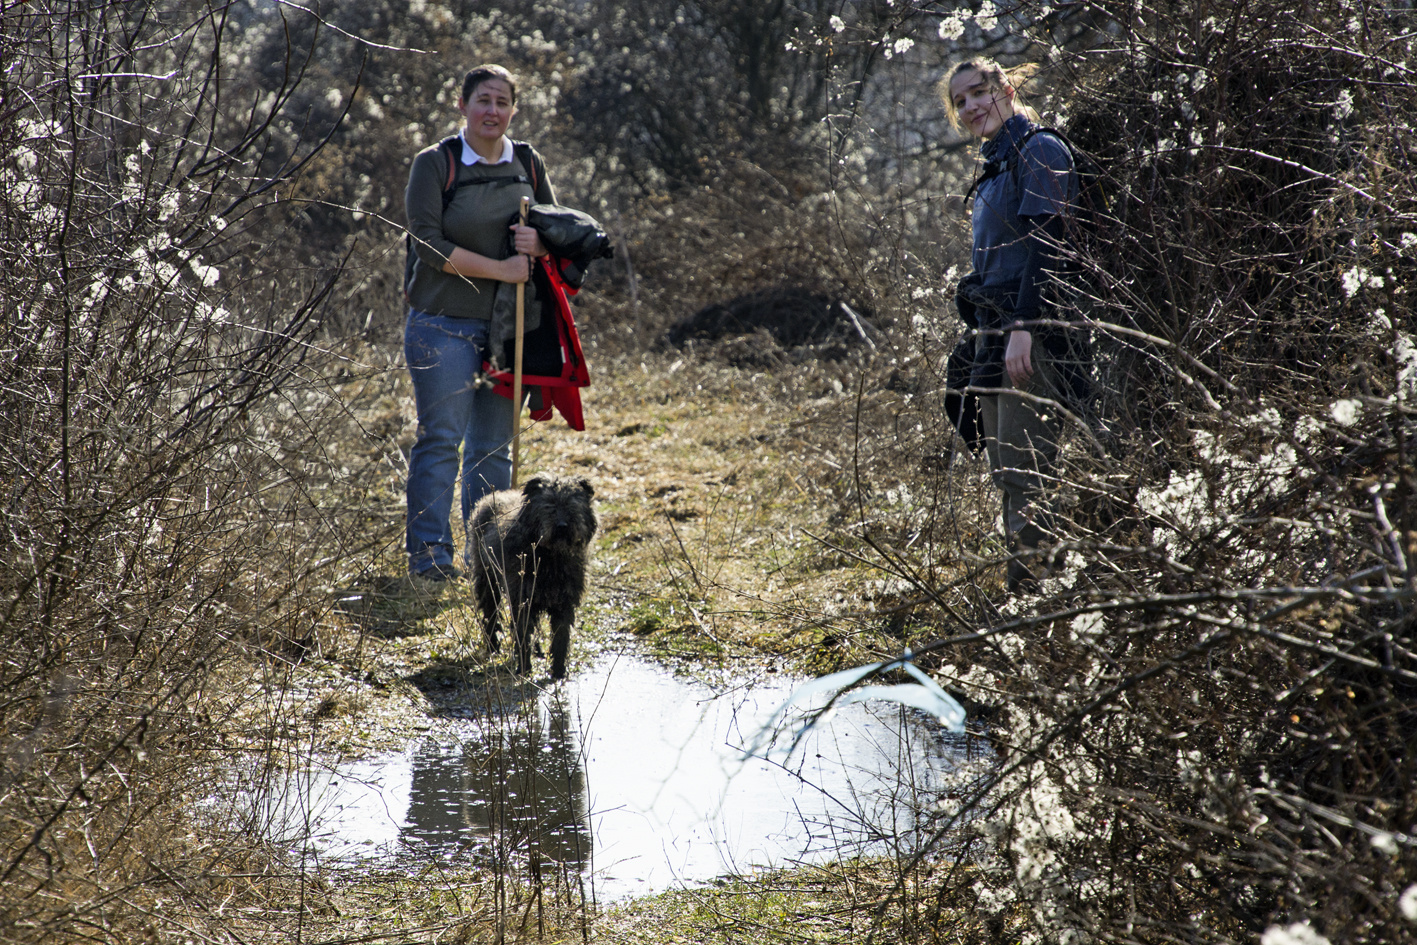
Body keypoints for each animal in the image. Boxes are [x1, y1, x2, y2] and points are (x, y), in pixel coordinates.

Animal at [467, 473, 595, 680]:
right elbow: (522, 635)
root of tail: (487, 500)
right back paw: (493, 647)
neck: (551, 556)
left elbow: (561, 638)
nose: (562, 526)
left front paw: (558, 672)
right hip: (488, 581)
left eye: (572, 505)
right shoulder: (522, 600)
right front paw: (524, 669)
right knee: (490, 614)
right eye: (549, 504)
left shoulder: (564, 603)